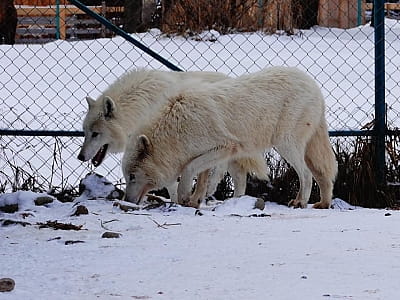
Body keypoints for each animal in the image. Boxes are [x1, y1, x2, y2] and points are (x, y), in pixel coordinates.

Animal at [78, 69, 268, 202]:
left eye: (96, 134)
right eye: (85, 132)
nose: (80, 157)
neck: (140, 105)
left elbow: (169, 183)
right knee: (240, 177)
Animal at [122, 66, 338, 209]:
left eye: (132, 176)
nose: (125, 201)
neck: (175, 130)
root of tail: (314, 86)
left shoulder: (225, 147)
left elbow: (189, 171)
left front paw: (186, 196)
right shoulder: (211, 153)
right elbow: (201, 177)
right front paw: (195, 201)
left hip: (285, 145)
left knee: (306, 175)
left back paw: (300, 202)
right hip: (303, 149)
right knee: (323, 175)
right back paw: (323, 204)